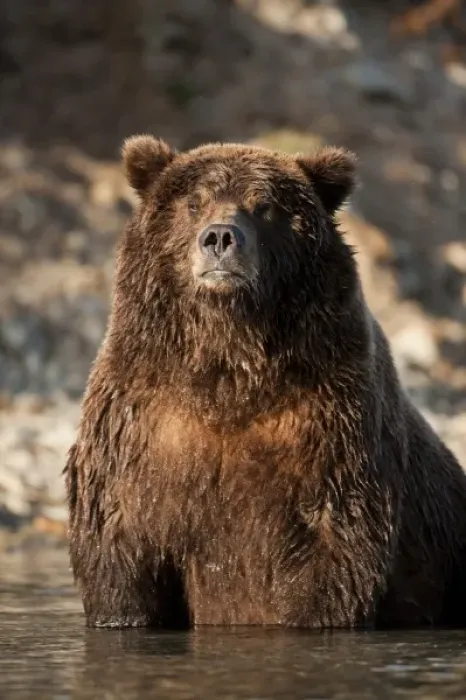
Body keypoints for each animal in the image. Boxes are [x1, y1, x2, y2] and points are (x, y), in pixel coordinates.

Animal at [65, 135, 466, 630]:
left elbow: (334, 553)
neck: (230, 364)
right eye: (193, 202)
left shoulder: (329, 422)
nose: (220, 237)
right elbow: (119, 548)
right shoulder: (140, 426)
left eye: (265, 206)